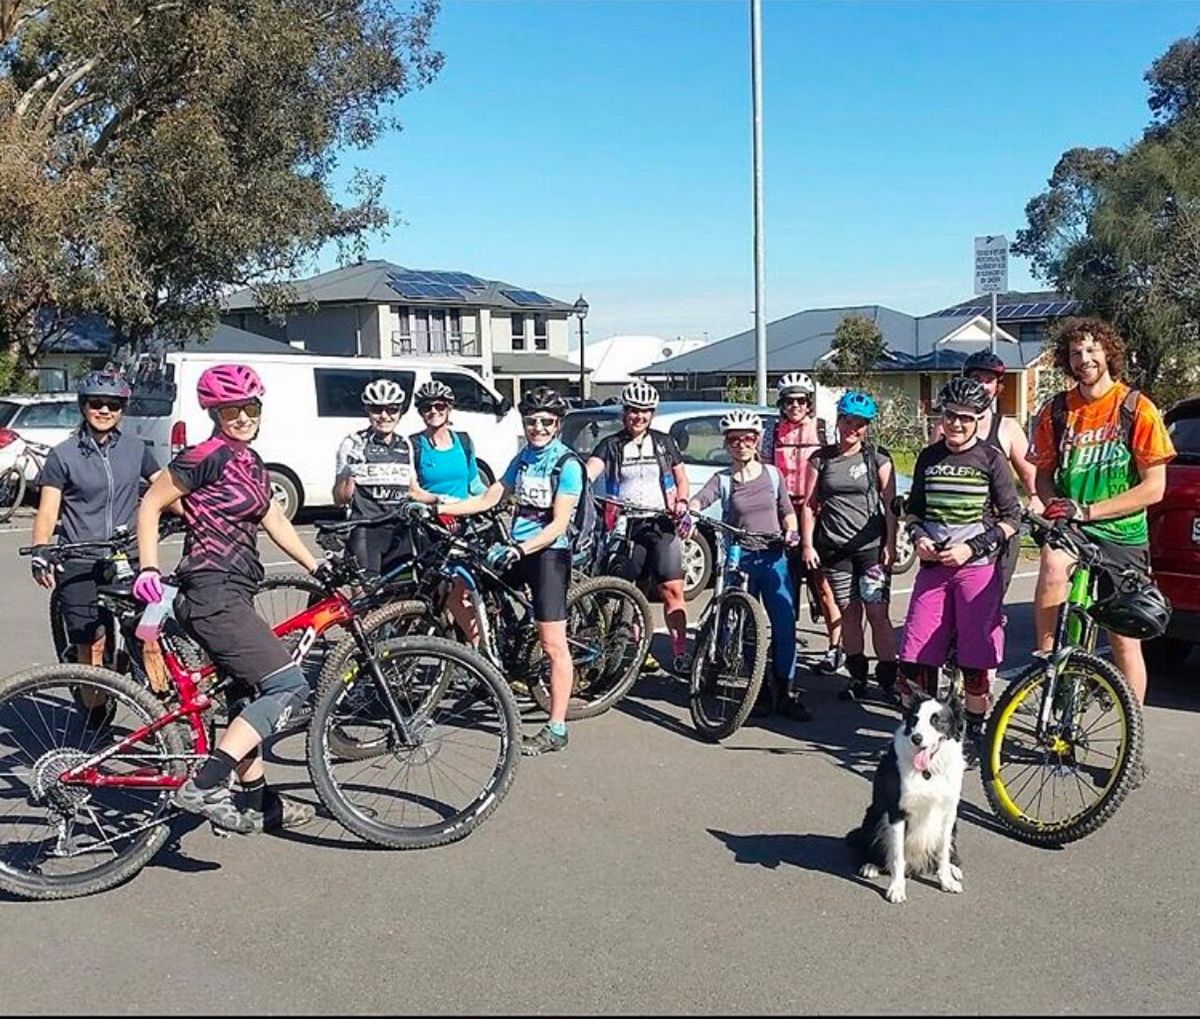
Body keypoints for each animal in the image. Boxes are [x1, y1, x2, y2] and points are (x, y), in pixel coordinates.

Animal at [849, 691, 969, 897]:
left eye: (937, 721)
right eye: (915, 719)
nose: (916, 738)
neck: (928, 771)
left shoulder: (949, 813)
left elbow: (943, 852)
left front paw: (946, 880)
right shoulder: (897, 812)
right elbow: (898, 856)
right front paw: (896, 888)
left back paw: (954, 868)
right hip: (874, 815)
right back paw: (870, 866)